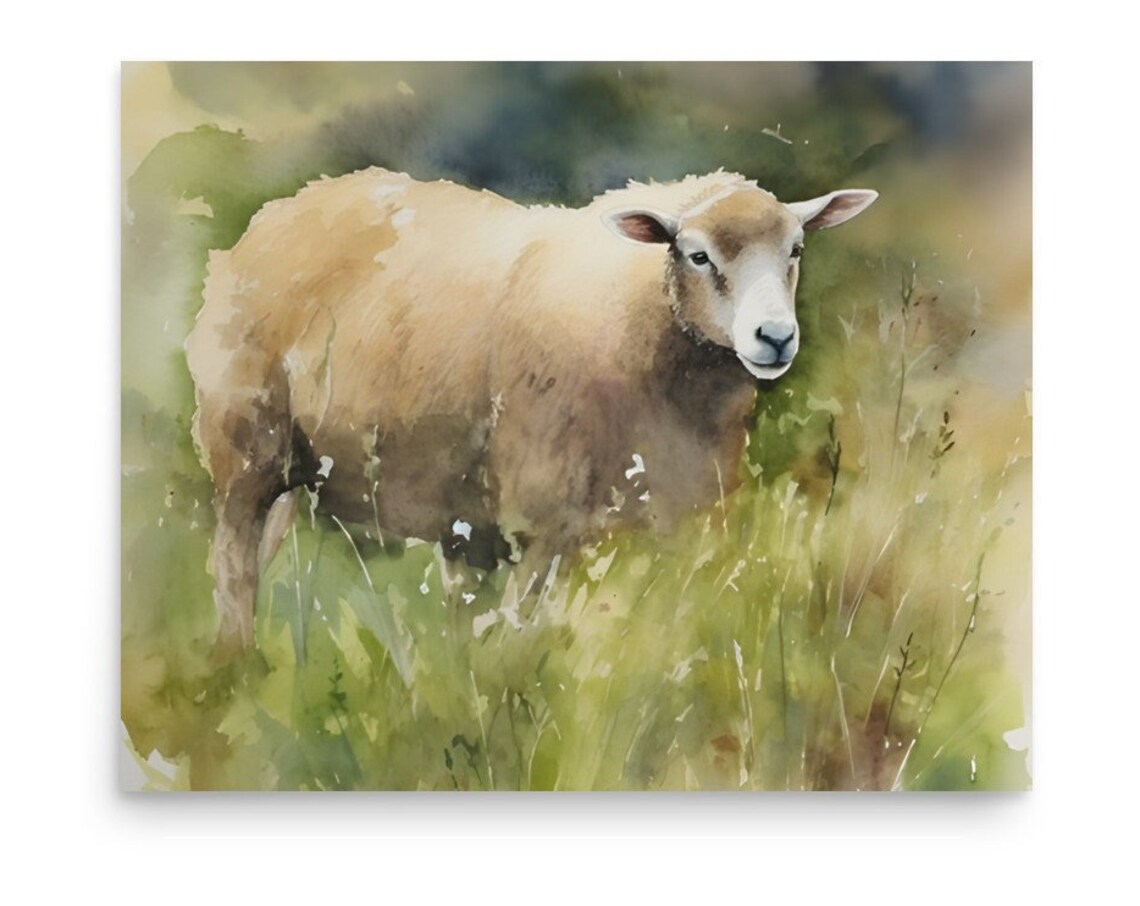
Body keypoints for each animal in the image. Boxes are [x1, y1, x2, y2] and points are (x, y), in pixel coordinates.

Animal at [186, 168, 877, 656]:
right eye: (698, 254)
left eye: (795, 249)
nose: (775, 337)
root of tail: (282, 208)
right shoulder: (543, 523)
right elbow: (522, 645)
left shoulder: (684, 527)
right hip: (244, 444)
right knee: (233, 567)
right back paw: (236, 664)